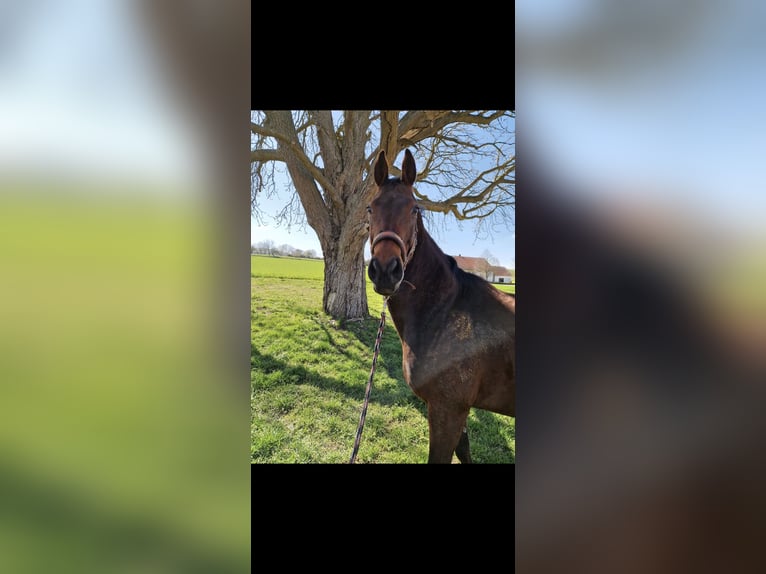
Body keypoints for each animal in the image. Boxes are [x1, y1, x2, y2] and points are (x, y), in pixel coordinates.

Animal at [366, 148, 515, 463]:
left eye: (415, 209)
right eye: (370, 209)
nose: (385, 271)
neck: (444, 311)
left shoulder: (448, 409)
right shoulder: (457, 412)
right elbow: (464, 450)